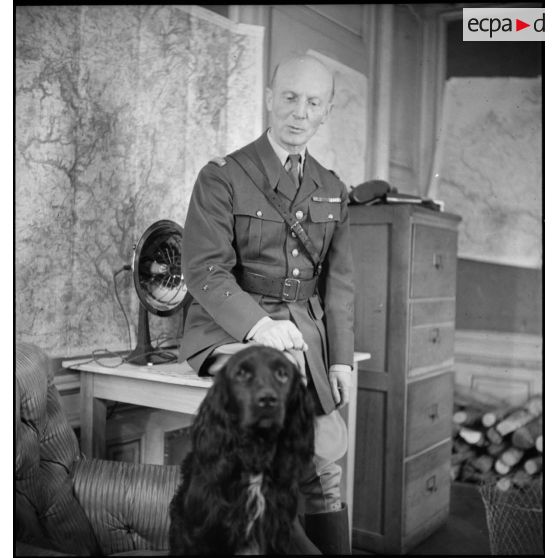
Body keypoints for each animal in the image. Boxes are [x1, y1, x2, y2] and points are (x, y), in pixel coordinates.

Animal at [171, 346, 318, 556]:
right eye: (241, 373)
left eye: (282, 374)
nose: (267, 400)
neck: (255, 457)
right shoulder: (201, 533)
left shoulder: (278, 531)